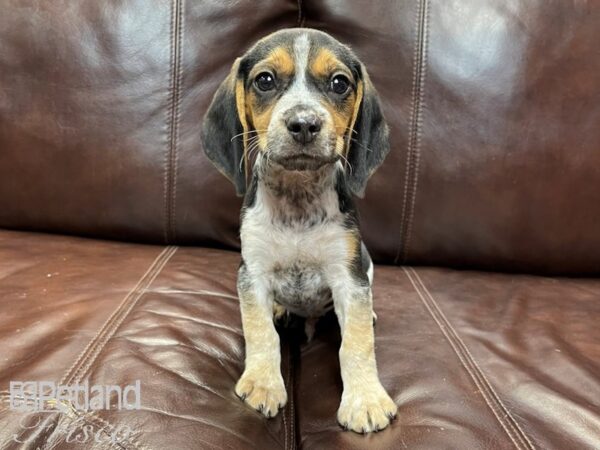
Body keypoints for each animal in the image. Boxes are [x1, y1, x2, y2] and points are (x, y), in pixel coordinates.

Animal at [203, 27, 398, 432]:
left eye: (339, 83)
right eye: (265, 80)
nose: (305, 124)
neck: (297, 197)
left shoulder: (349, 277)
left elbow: (356, 345)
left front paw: (365, 398)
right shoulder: (252, 273)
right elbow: (261, 333)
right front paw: (263, 382)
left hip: (366, 262)